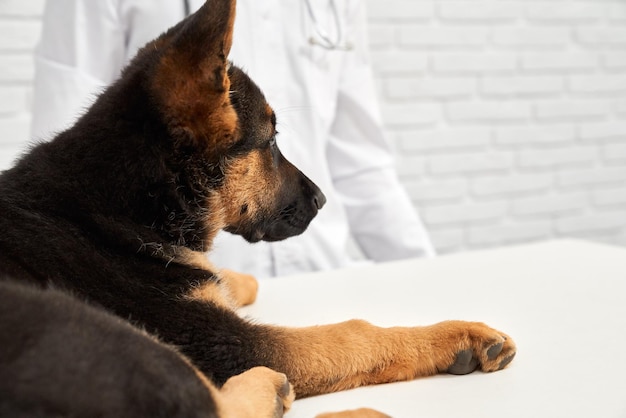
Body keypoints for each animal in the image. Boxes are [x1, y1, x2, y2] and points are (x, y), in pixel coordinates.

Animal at [0, 1, 516, 416]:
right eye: (270, 142)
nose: (323, 200)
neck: (121, 208)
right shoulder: (224, 341)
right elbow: (354, 333)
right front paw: (457, 335)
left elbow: (220, 278)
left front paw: (235, 280)